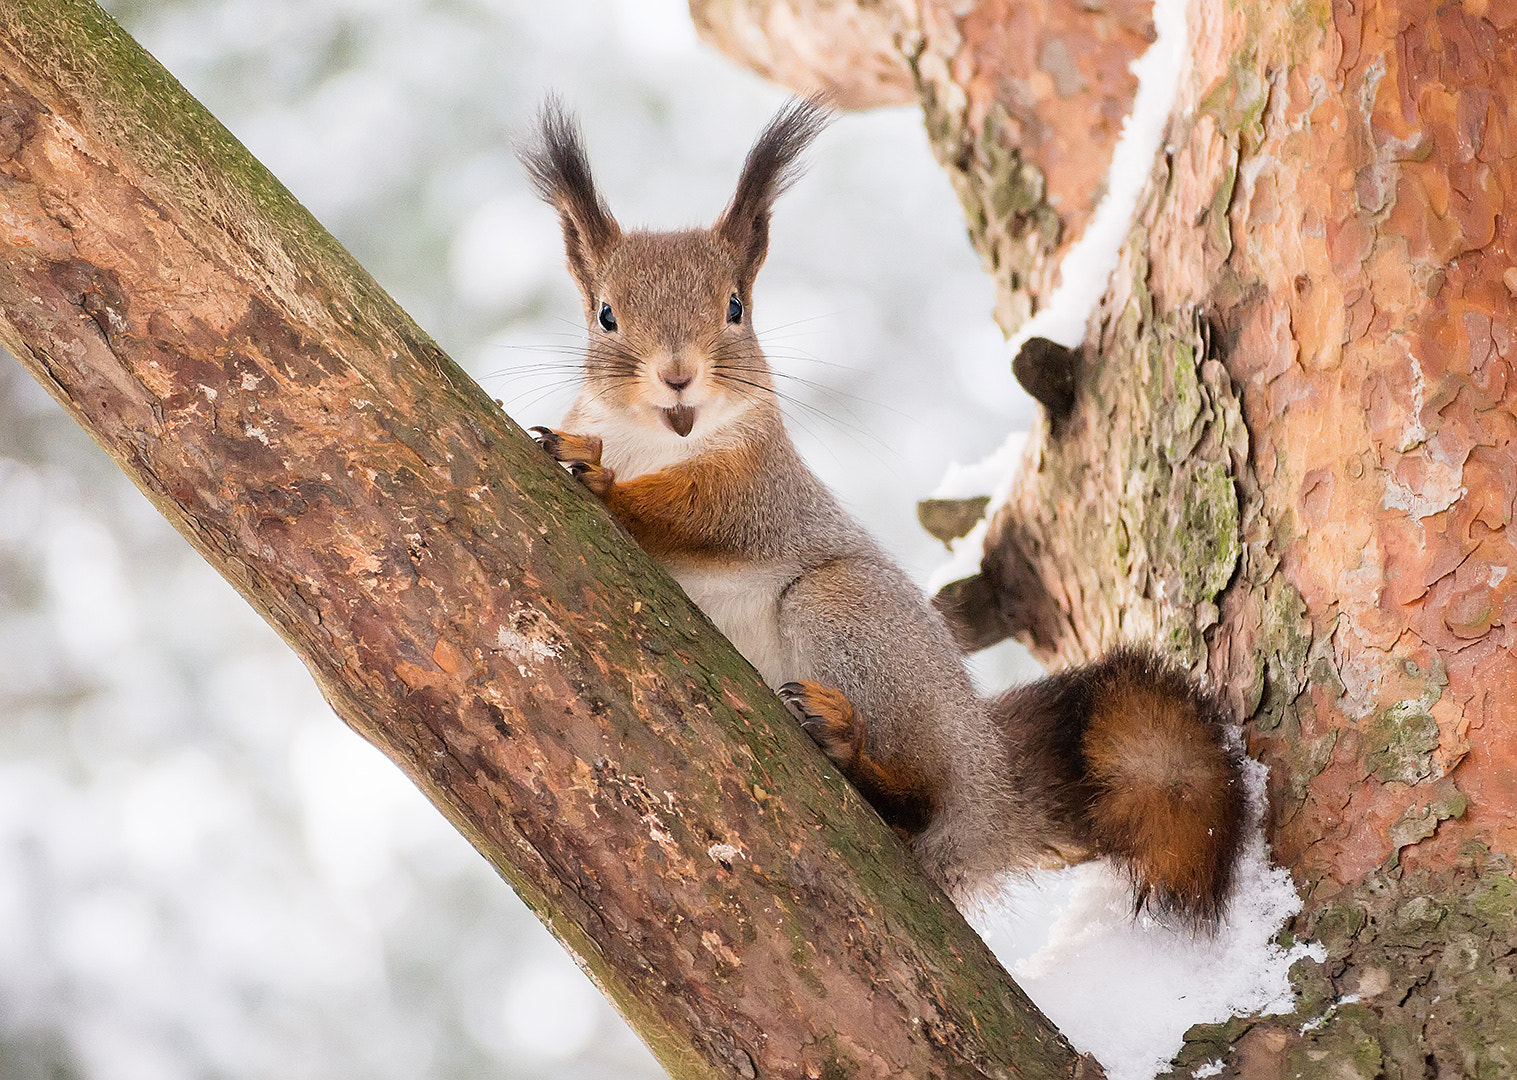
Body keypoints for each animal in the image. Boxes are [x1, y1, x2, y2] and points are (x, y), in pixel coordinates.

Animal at [519, 97, 1245, 923]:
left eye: (735, 307)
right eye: (605, 316)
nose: (677, 376)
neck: (659, 441)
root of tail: (989, 787)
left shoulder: (763, 488)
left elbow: (701, 513)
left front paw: (597, 474)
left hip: (847, 611)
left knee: (918, 801)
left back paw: (852, 750)